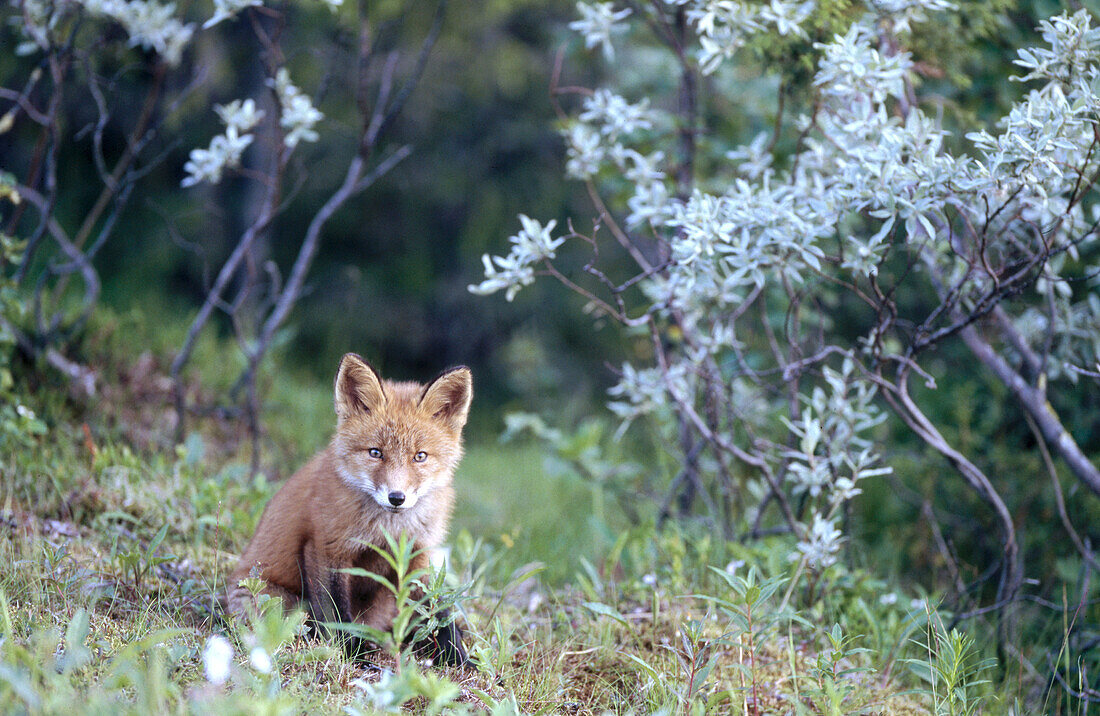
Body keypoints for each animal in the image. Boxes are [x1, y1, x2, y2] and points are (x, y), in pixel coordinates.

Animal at [227, 351, 473, 668]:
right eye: (375, 453)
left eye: (420, 457)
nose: (396, 498)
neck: (388, 530)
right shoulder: (326, 548)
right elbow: (336, 613)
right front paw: (352, 652)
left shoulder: (417, 556)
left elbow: (437, 614)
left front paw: (459, 657)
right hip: (278, 603)